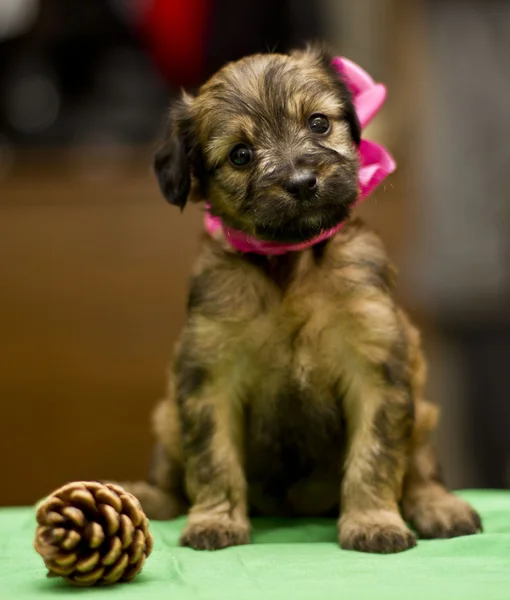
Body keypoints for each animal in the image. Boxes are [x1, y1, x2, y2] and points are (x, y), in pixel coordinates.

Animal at [123, 45, 482, 552]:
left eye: (318, 123)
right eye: (241, 154)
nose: (301, 182)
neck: (290, 263)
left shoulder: (376, 367)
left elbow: (374, 455)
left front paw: (373, 521)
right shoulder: (211, 374)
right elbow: (214, 457)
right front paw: (215, 519)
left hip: (424, 411)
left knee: (420, 472)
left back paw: (438, 507)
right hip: (167, 417)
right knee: (171, 479)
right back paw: (147, 499)